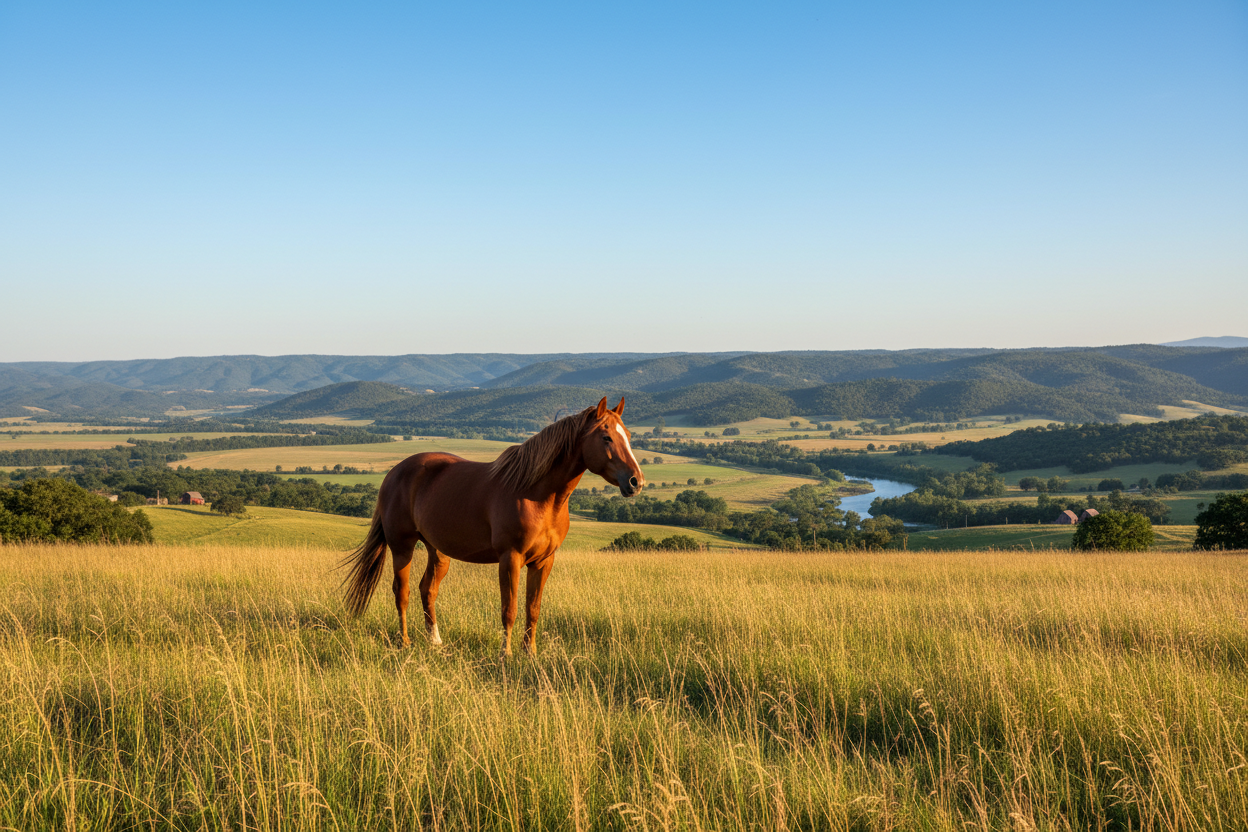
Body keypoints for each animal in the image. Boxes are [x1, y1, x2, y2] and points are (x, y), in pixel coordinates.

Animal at [340, 397, 645, 656]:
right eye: (606, 437)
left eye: (629, 436)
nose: (636, 482)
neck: (537, 495)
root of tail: (394, 473)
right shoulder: (510, 558)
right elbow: (509, 609)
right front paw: (505, 655)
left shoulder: (544, 561)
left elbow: (533, 608)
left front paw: (530, 654)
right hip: (402, 547)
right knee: (401, 592)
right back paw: (404, 642)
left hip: (438, 552)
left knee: (427, 589)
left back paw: (435, 641)